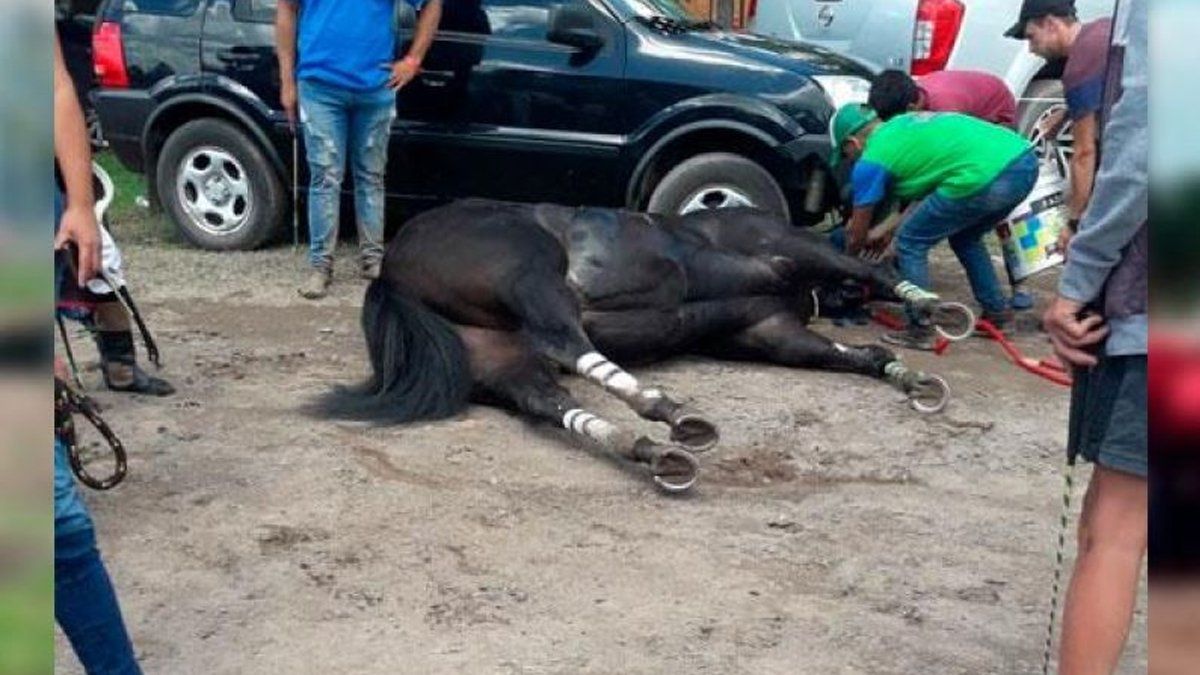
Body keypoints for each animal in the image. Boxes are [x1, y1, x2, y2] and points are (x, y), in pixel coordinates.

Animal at [316, 199, 971, 492]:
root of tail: (391, 269)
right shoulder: (787, 251)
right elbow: (867, 271)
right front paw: (936, 309)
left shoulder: (769, 331)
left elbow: (845, 355)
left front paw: (908, 376)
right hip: (530, 272)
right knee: (566, 341)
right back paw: (670, 414)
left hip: (497, 356)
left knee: (549, 400)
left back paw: (652, 450)